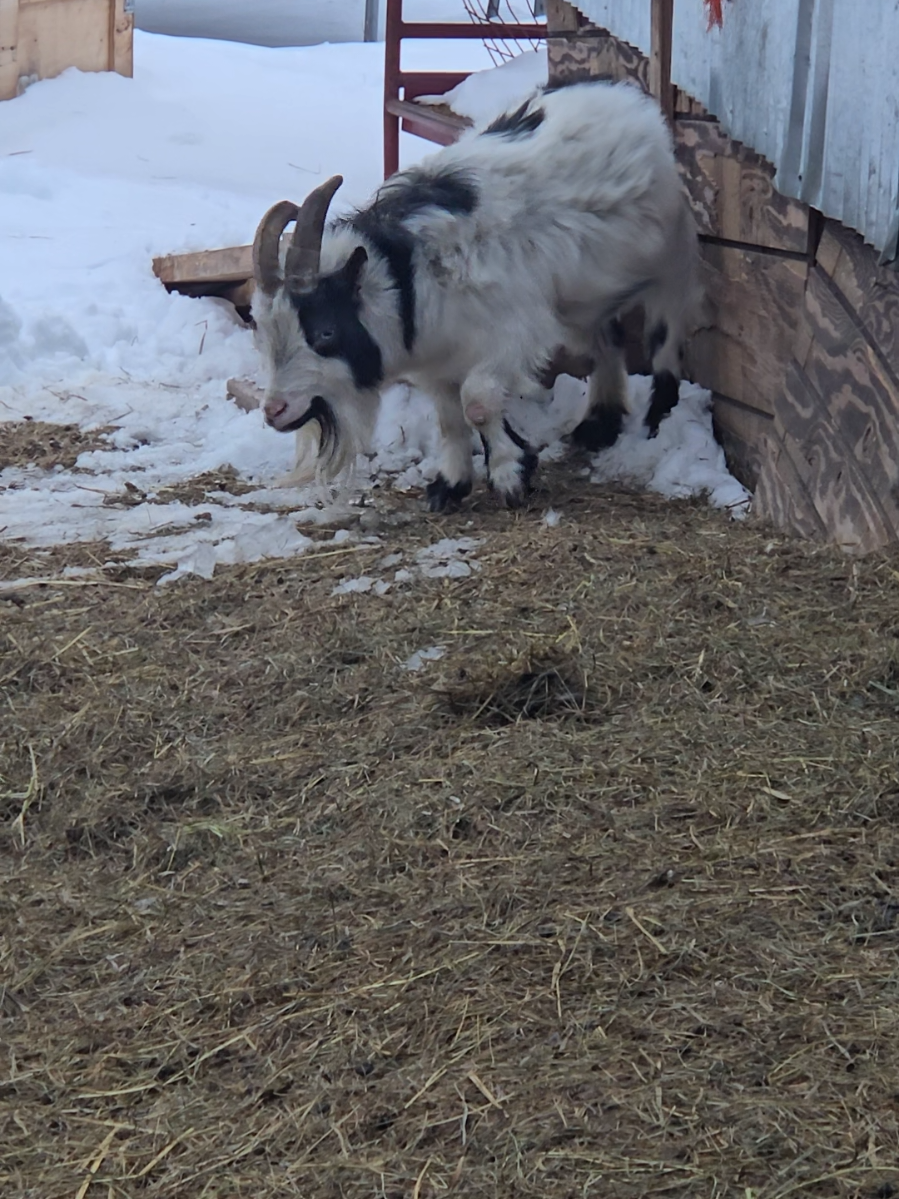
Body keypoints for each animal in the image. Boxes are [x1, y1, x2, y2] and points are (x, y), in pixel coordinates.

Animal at [250, 78, 700, 510]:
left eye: (325, 331)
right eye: (265, 335)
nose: (274, 412)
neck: (410, 273)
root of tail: (626, 99)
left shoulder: (510, 336)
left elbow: (477, 404)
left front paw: (511, 475)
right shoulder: (437, 361)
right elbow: (450, 418)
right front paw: (450, 485)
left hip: (672, 260)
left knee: (666, 333)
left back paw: (659, 416)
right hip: (580, 300)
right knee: (605, 341)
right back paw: (599, 425)